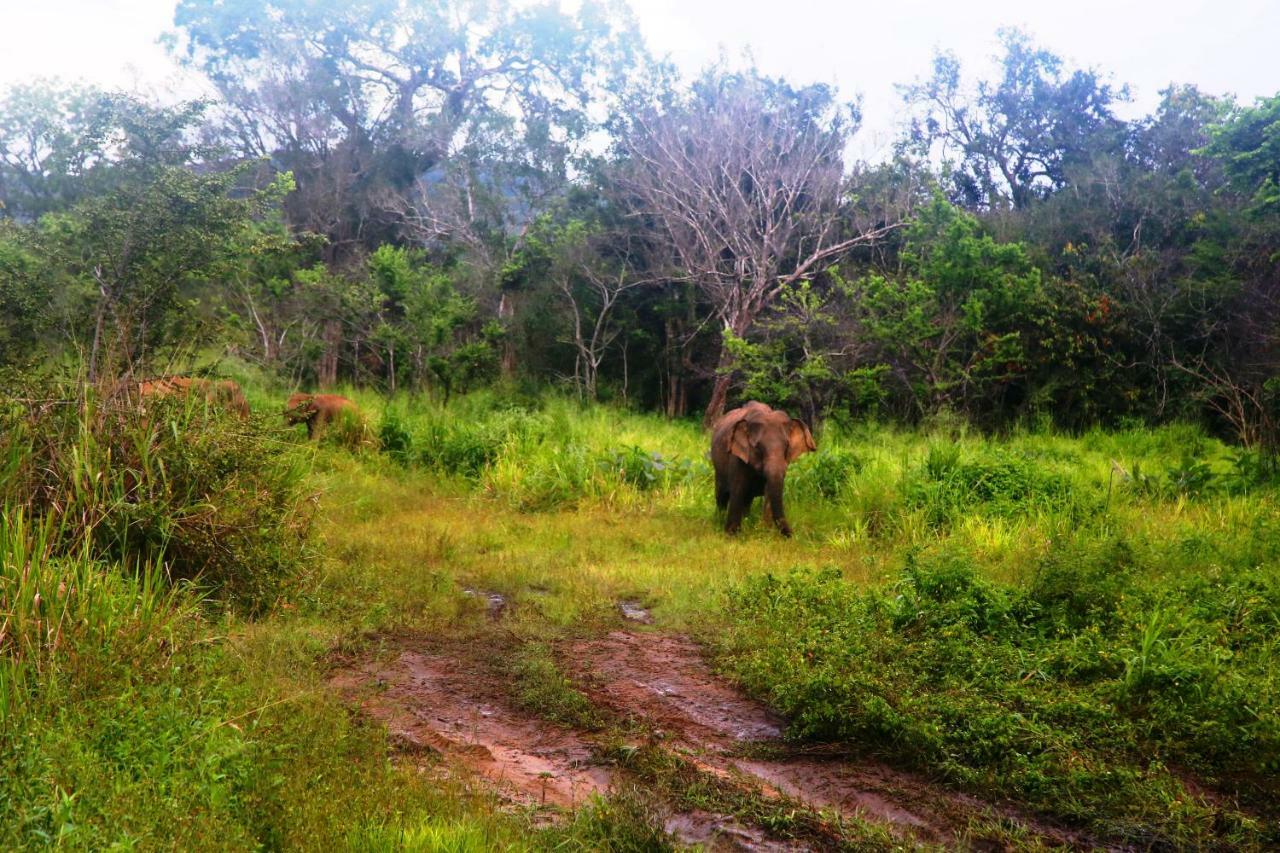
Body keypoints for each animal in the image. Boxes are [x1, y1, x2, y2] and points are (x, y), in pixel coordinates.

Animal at [706, 399, 814, 535]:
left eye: (786, 447)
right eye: (758, 447)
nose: (791, 534)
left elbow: (768, 492)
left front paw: (764, 531)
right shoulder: (737, 457)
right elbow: (738, 488)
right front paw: (732, 534)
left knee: (747, 499)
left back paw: (746, 520)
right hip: (718, 468)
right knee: (721, 495)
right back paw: (719, 521)